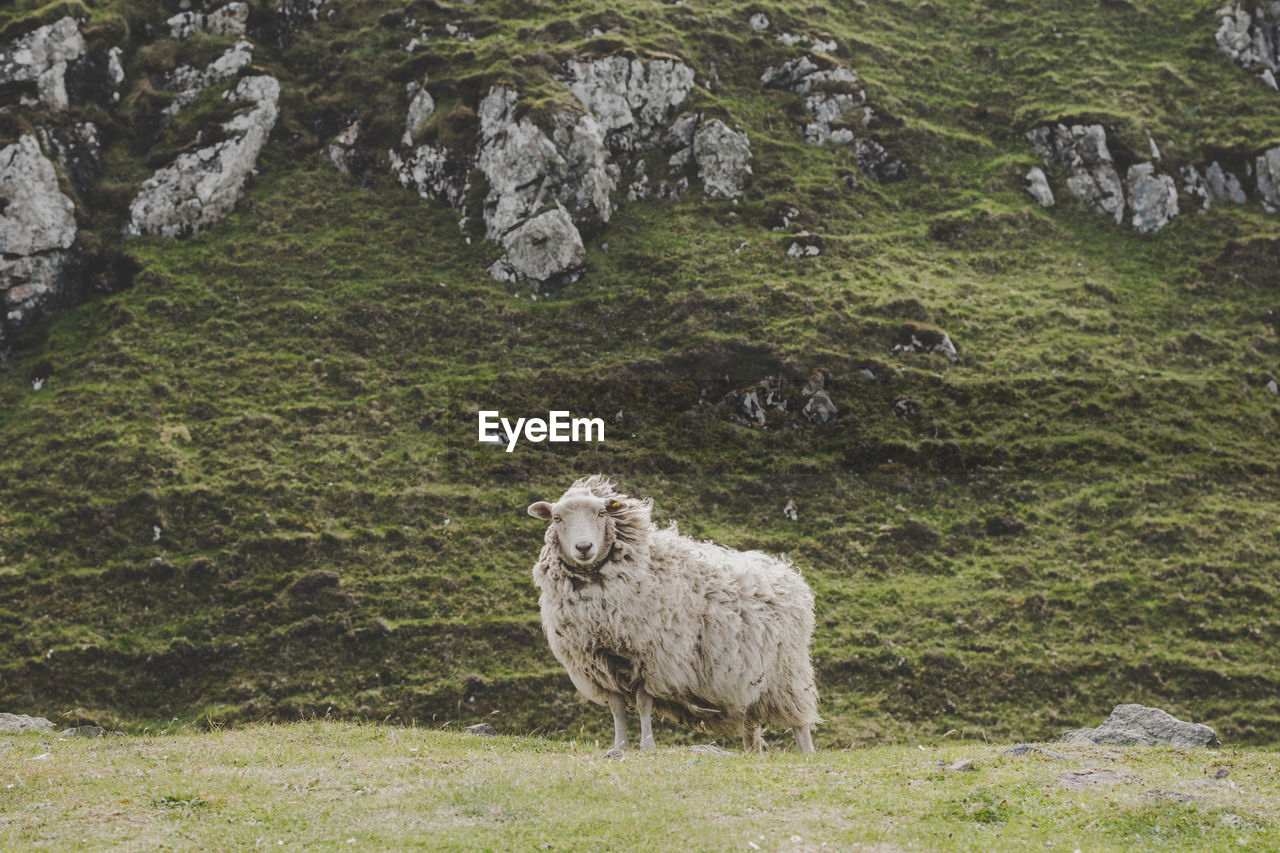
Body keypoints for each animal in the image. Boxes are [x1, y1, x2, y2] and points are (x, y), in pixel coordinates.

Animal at [527, 471, 819, 753]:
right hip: (749, 682)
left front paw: (647, 745)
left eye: (601, 513)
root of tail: (788, 572)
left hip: (788, 674)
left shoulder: (650, 659)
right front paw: (619, 746)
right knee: (751, 722)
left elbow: (643, 704)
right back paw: (751, 753)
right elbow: (617, 708)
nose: (584, 547)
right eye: (557, 517)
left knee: (800, 722)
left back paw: (806, 752)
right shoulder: (600, 664)